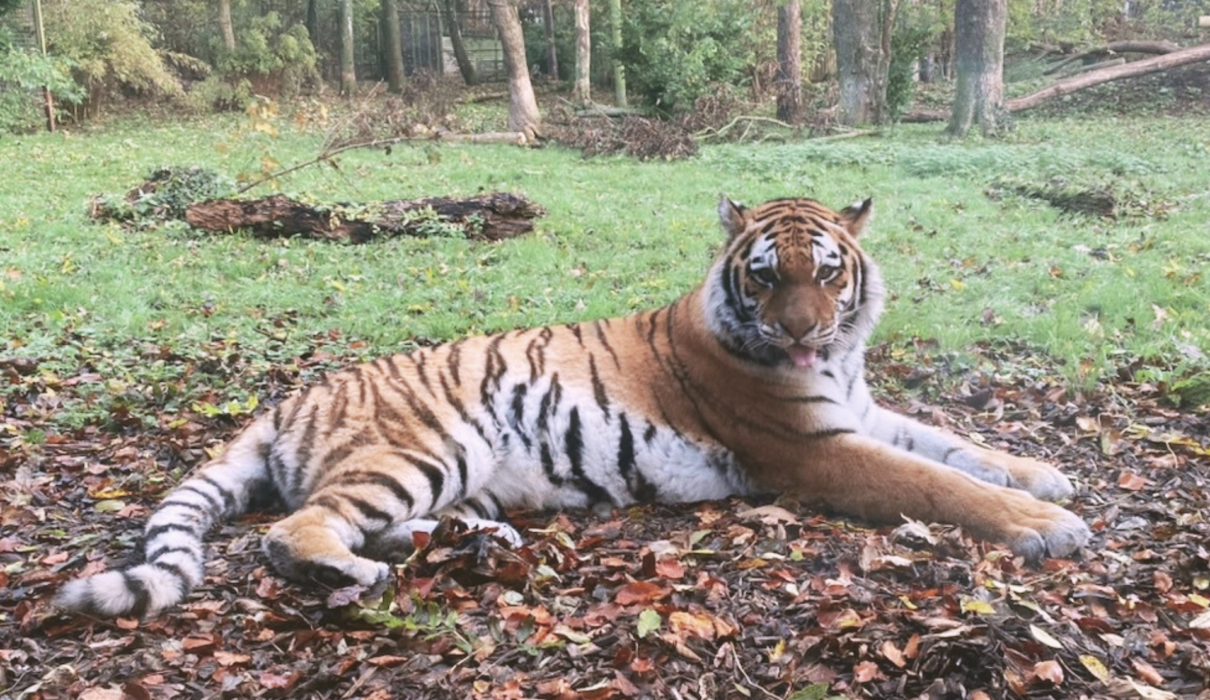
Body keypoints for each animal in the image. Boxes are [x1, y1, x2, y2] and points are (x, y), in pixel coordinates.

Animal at [56, 195, 1090, 618]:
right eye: (766, 277)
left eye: (828, 273)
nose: (803, 333)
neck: (834, 366)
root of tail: (290, 398)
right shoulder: (817, 448)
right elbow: (937, 483)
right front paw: (1048, 525)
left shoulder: (860, 413)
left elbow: (952, 443)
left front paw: (1044, 472)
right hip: (425, 445)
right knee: (294, 529)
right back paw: (363, 572)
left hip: (456, 469)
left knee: (365, 518)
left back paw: (473, 542)